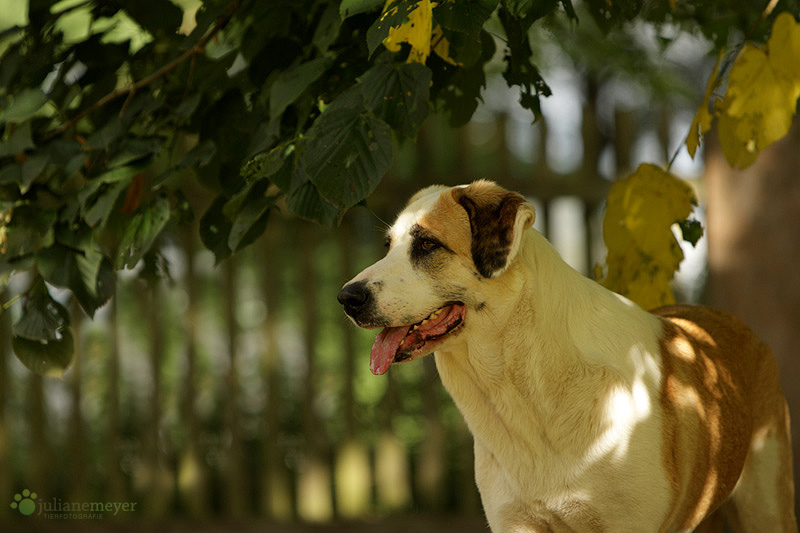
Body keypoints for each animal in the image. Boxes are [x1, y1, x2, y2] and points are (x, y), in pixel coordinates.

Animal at [336, 181, 792, 528]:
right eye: (387, 246)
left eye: (428, 244)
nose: (347, 298)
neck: (524, 383)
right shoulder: (515, 521)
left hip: (766, 507)